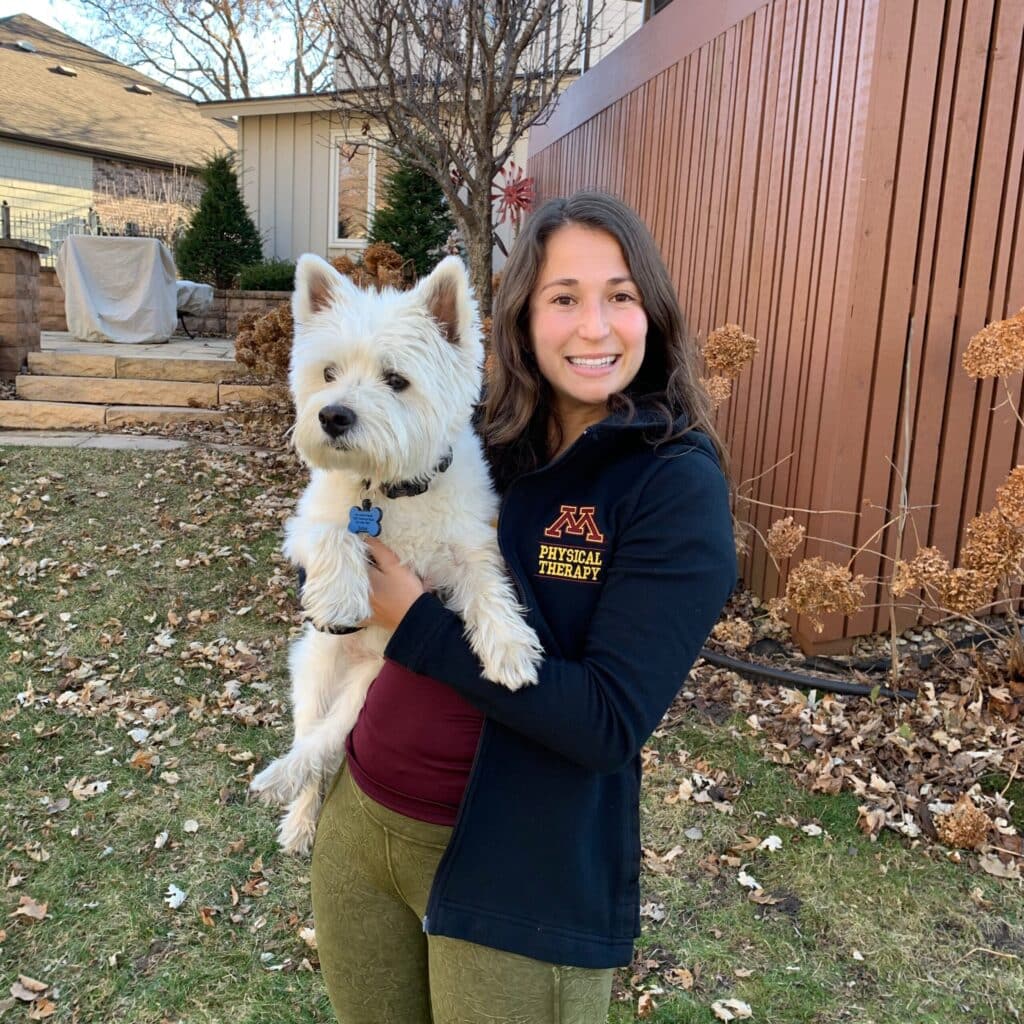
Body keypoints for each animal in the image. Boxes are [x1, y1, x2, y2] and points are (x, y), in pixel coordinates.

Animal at [249, 251, 544, 851]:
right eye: (328, 373)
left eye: (396, 380)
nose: (333, 416)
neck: (388, 490)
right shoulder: (304, 524)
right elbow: (335, 533)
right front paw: (342, 599)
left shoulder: (469, 543)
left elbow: (488, 585)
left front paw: (509, 648)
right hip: (316, 669)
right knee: (309, 737)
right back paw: (292, 803)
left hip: (369, 683)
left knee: (326, 741)